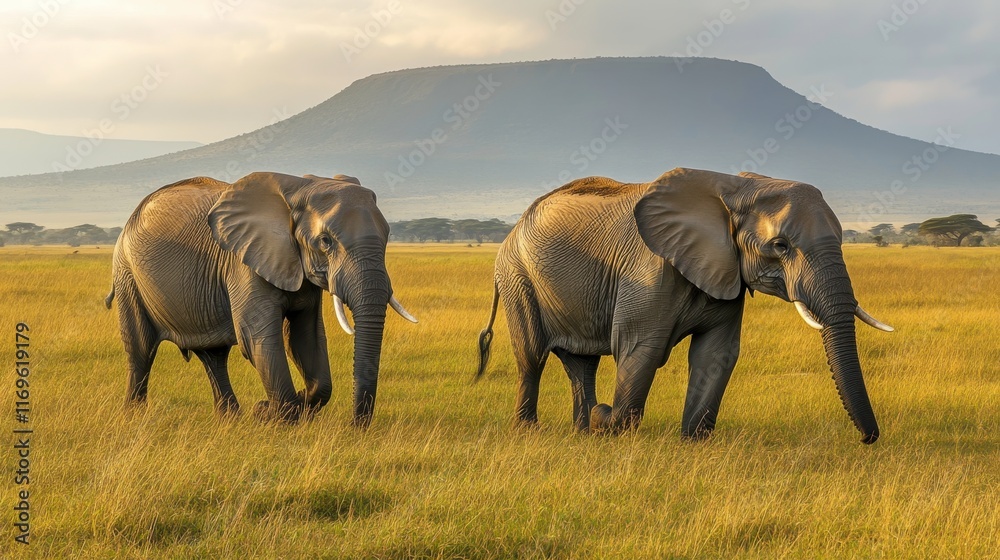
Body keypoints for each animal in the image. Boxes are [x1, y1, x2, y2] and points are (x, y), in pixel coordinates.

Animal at [105, 172, 417, 425]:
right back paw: (134, 417)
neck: (301, 188)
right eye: (325, 242)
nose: (355, 425)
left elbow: (306, 338)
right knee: (141, 349)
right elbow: (257, 339)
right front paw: (270, 414)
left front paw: (295, 403)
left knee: (213, 355)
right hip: (127, 274)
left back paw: (230, 418)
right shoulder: (244, 263)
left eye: (388, 236)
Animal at [476, 168, 892, 443]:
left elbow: (717, 353)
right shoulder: (648, 269)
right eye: (780, 246)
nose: (867, 439)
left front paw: (693, 440)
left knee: (582, 364)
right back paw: (532, 431)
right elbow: (640, 349)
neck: (735, 187)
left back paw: (581, 431)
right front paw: (608, 422)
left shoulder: (726, 273)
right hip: (516, 277)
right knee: (532, 356)